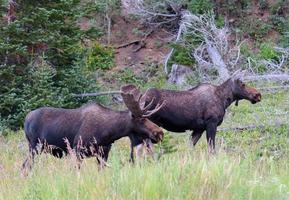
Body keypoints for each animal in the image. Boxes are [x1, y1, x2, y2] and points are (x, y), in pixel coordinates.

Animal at [128, 72, 260, 159]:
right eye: (243, 84)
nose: (257, 95)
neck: (224, 100)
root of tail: (142, 100)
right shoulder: (211, 123)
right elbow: (211, 148)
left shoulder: (199, 129)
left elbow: (190, 146)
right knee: (146, 146)